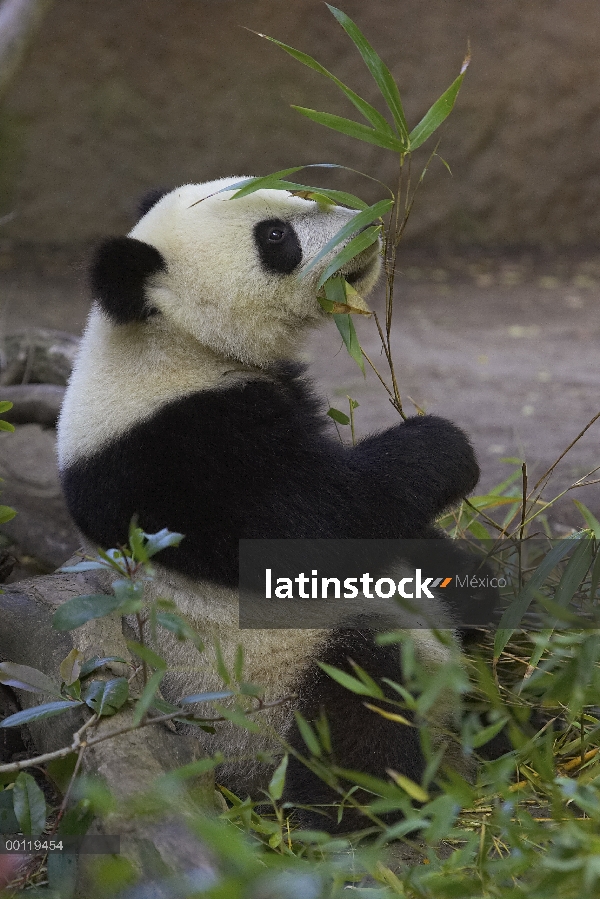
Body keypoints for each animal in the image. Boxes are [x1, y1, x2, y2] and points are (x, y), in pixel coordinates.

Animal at [57, 179, 482, 832]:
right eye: (275, 235)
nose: (367, 223)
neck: (170, 343)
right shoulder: (179, 454)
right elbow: (327, 522)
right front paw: (447, 443)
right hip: (268, 701)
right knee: (357, 697)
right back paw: (373, 801)